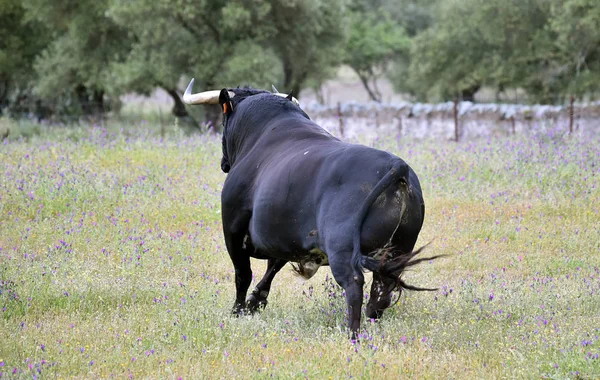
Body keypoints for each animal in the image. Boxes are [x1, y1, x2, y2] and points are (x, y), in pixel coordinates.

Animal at [209, 87, 438, 338]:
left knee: (354, 283)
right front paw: (254, 303)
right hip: (399, 248)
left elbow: (243, 273)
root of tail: (398, 166)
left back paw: (353, 335)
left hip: (342, 245)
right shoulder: (286, 236)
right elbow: (273, 266)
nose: (224, 163)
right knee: (381, 291)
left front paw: (238, 311)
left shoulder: (233, 227)